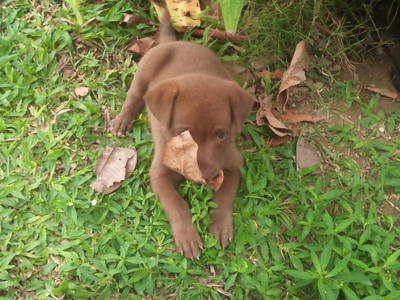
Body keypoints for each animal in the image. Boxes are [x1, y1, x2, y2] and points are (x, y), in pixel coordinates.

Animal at [109, 0, 253, 258]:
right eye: (180, 133)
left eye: (221, 135)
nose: (206, 176)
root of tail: (170, 41)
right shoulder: (159, 172)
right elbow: (176, 204)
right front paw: (187, 237)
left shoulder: (232, 164)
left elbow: (225, 196)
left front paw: (220, 226)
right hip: (143, 72)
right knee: (133, 97)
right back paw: (122, 120)